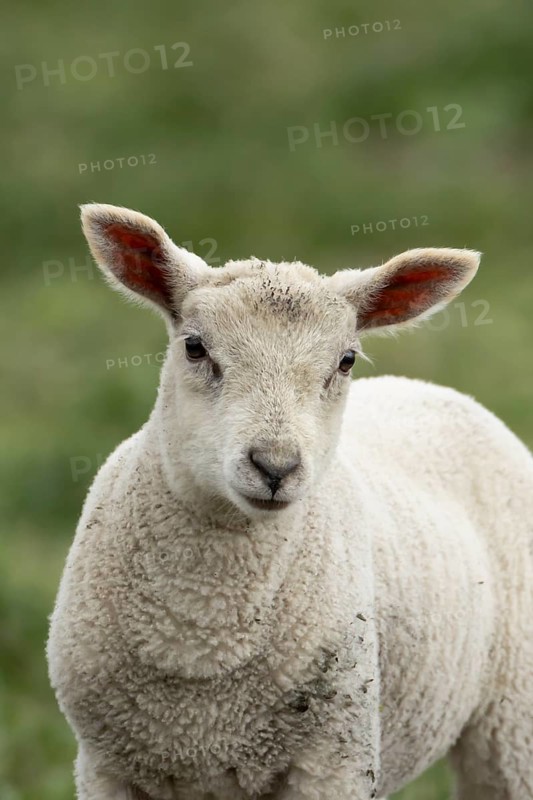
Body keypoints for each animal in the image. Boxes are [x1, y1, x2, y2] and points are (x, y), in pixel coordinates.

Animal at [47, 203, 533, 800]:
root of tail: (429, 388)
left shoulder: (333, 760)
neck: (201, 633)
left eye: (346, 360)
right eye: (194, 347)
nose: (275, 467)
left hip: (512, 719)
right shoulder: (106, 766)